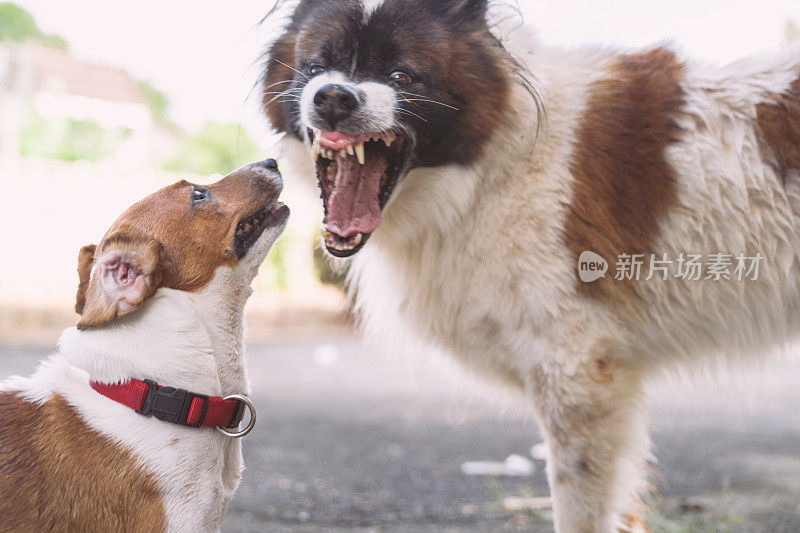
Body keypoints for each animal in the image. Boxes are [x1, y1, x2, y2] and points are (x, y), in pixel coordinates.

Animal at [260, 2, 800, 528]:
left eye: (402, 74)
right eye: (315, 68)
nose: (333, 98)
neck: (502, 160)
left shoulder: (577, 375)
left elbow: (579, 509)